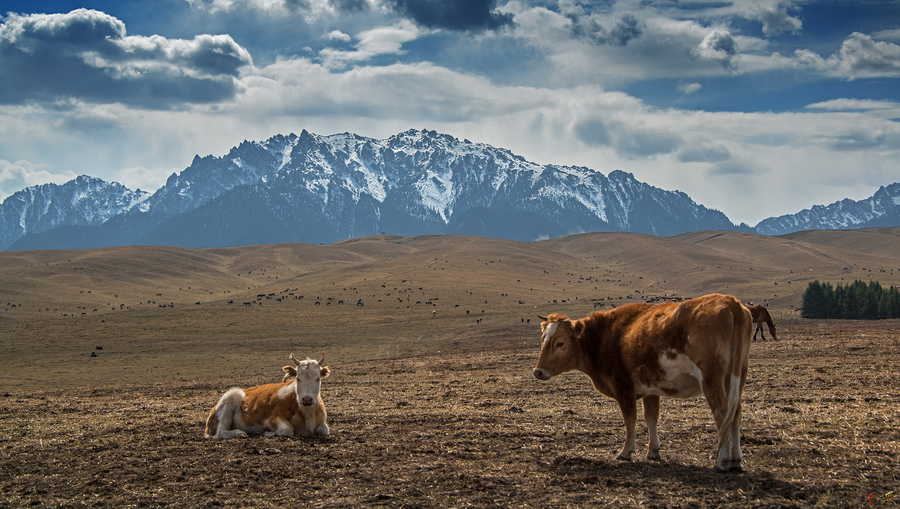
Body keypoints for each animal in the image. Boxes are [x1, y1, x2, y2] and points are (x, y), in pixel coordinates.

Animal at [536, 294, 752, 472]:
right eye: (543, 339)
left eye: (560, 343)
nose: (537, 371)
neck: (605, 337)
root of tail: (729, 302)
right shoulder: (651, 388)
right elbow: (651, 417)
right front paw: (653, 450)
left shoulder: (623, 387)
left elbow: (630, 419)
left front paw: (626, 452)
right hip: (735, 377)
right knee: (736, 412)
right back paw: (736, 460)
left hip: (711, 378)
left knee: (722, 412)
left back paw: (722, 461)